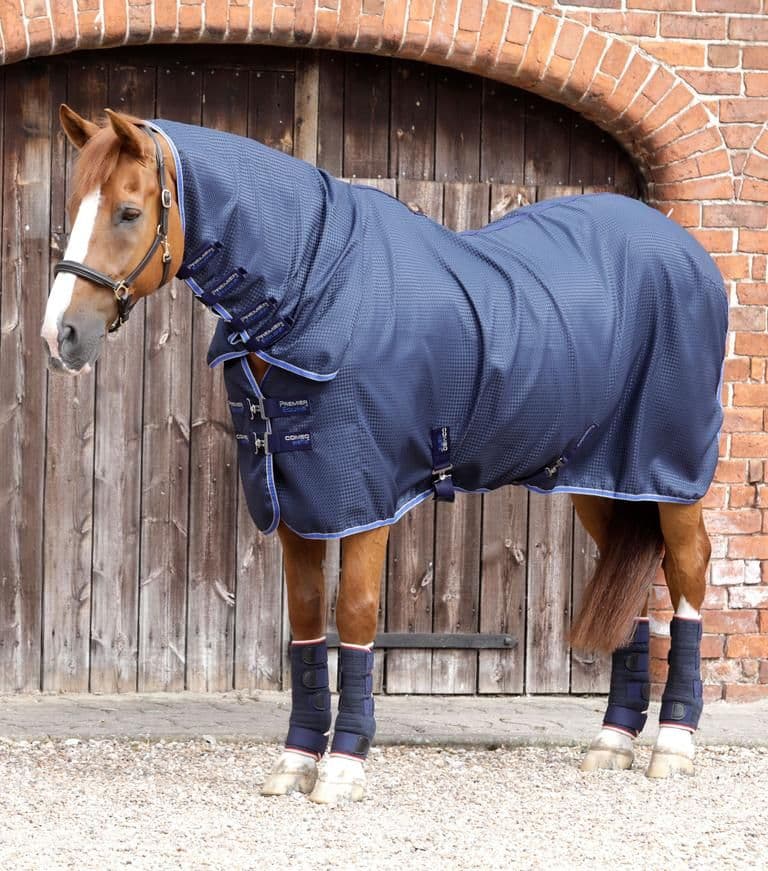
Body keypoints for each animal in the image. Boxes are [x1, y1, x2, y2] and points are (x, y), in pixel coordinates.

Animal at [41, 105, 728, 804]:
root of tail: (689, 254)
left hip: (670, 471)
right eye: (73, 206)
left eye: (129, 211)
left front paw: (344, 764)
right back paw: (612, 741)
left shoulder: (363, 496)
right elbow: (308, 618)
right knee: (635, 584)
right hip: (600, 478)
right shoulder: (294, 499)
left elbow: (356, 614)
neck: (313, 290)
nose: (58, 335)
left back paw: (673, 743)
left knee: (688, 573)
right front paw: (295, 760)